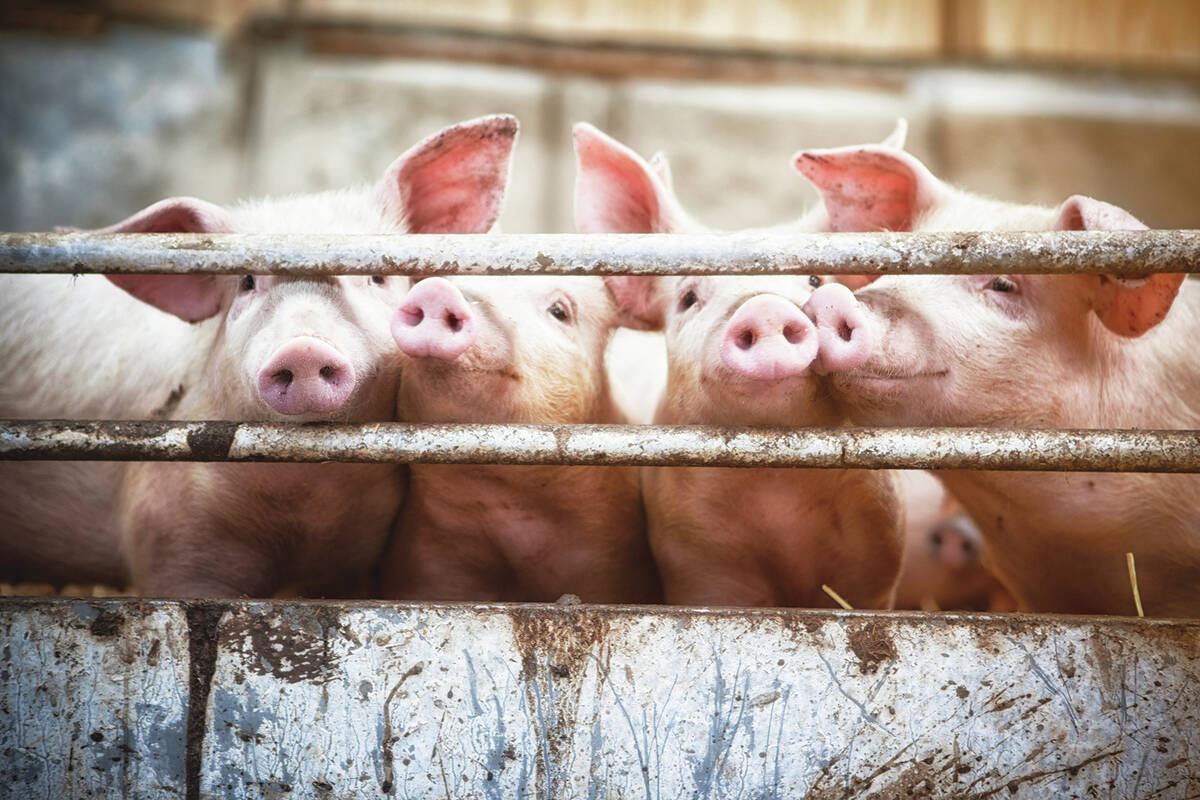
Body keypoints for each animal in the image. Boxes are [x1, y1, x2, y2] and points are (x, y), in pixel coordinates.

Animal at [572, 122, 903, 608]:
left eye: (815, 279)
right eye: (689, 297)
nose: (764, 307)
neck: (775, 488)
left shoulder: (877, 557)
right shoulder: (696, 559)